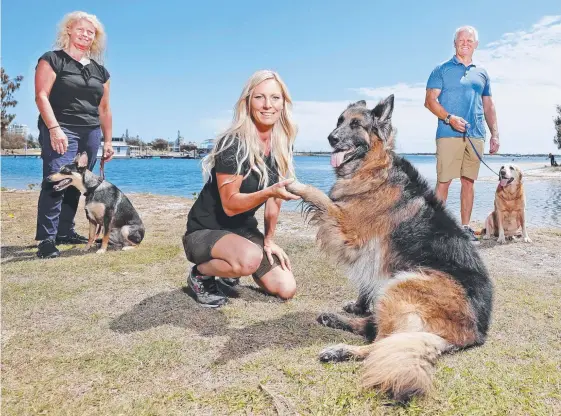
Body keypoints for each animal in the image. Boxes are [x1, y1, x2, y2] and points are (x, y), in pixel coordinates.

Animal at [286, 96, 492, 402]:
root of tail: (476, 334)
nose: (331, 138)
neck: (374, 166)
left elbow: (319, 195)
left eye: (356, 125)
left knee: (381, 343)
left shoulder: (348, 228)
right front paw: (358, 305)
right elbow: (365, 284)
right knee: (377, 330)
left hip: (402, 283)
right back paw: (334, 319)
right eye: (339, 121)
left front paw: (294, 184)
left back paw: (340, 350)